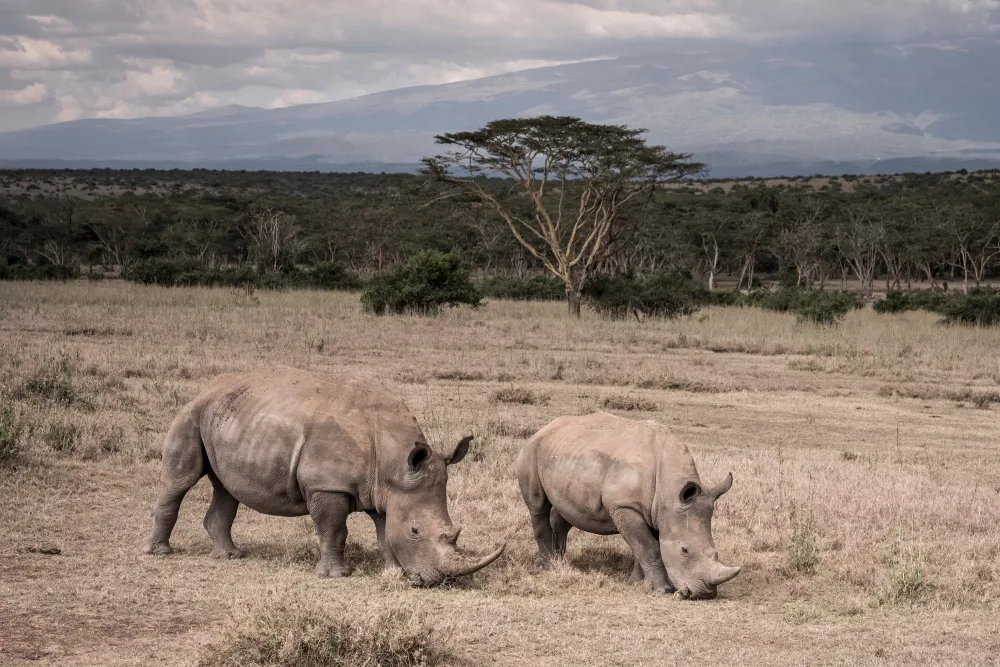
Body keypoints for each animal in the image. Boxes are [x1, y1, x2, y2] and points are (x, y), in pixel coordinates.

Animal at [142, 367, 505, 585]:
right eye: (416, 531)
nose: (434, 581)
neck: (393, 461)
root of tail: (208, 387)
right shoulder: (327, 486)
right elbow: (334, 530)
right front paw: (337, 575)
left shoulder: (387, 490)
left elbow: (384, 532)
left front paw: (393, 572)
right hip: (191, 413)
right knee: (180, 482)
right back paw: (159, 553)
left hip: (228, 417)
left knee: (227, 488)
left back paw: (232, 556)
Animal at [515, 412, 740, 599]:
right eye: (684, 550)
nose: (705, 594)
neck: (670, 490)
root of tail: (545, 428)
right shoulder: (625, 506)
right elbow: (648, 546)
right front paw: (662, 589)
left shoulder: (657, 511)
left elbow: (644, 547)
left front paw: (636, 583)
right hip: (531, 450)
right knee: (537, 506)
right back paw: (549, 565)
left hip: (565, 455)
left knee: (564, 511)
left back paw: (560, 561)